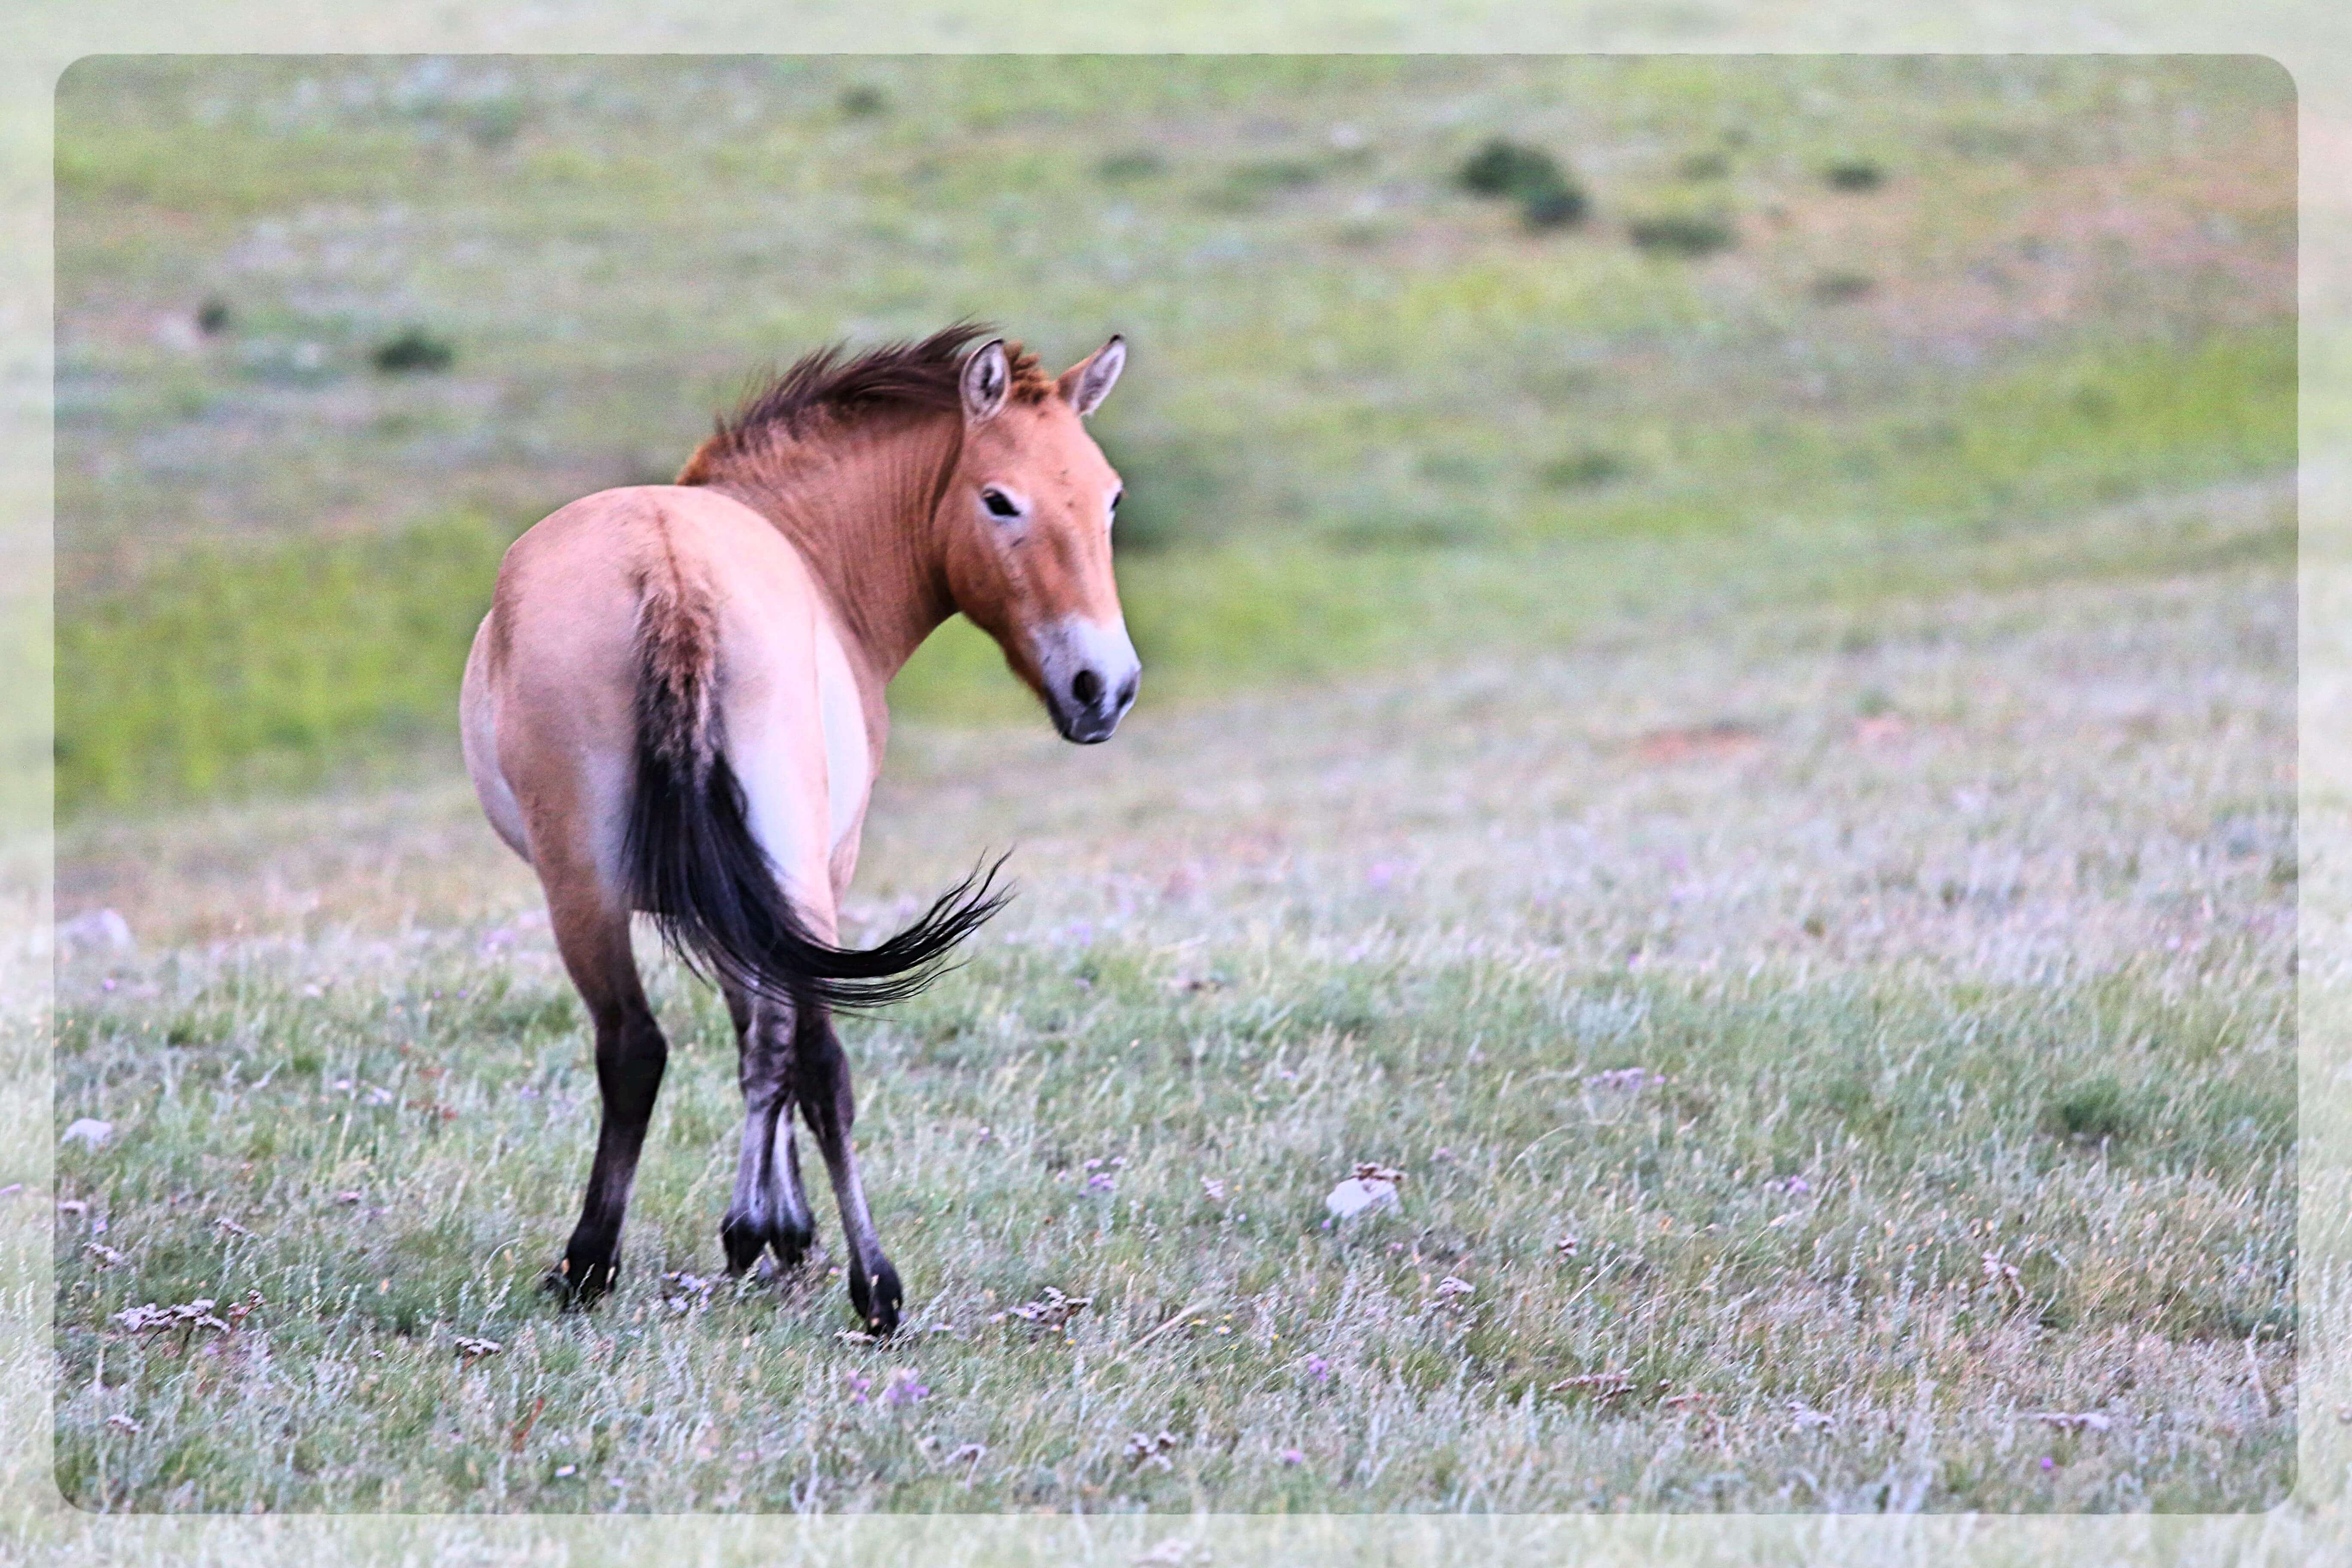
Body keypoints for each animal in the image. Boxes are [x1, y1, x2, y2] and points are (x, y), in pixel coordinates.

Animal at [459, 324, 1138, 1335]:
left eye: (1108, 499)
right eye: (1000, 501)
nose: (1105, 689)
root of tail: (670, 571)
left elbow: (758, 1039)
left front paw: (762, 1225)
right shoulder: (810, 876)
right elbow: (771, 1043)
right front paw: (770, 1228)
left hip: (587, 889)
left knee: (640, 1047)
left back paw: (594, 1263)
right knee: (802, 1061)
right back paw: (869, 1285)